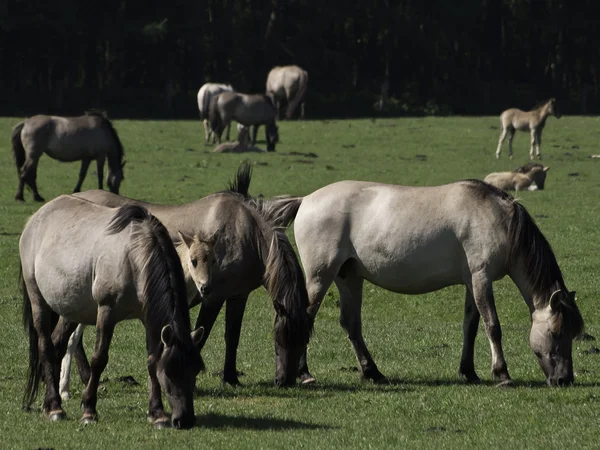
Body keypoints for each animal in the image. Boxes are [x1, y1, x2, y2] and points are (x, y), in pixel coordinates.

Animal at [20, 197, 204, 428]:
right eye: (170, 371)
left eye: (195, 369)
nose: (185, 419)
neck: (132, 257)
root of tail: (35, 219)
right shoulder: (106, 312)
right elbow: (99, 358)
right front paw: (89, 409)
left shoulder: (148, 318)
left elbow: (152, 359)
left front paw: (157, 413)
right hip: (38, 300)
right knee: (45, 346)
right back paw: (55, 407)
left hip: (71, 310)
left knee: (57, 344)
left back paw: (49, 401)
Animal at [70, 162, 312, 386]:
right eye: (279, 339)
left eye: (304, 341)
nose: (285, 381)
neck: (244, 232)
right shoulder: (213, 296)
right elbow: (202, 334)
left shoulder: (238, 296)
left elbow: (232, 337)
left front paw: (231, 378)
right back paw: (88, 376)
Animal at [258, 179, 584, 386]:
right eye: (556, 332)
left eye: (571, 333)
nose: (564, 379)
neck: (496, 217)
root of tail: (305, 200)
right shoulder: (481, 278)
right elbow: (492, 326)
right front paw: (501, 373)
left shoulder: (471, 283)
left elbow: (471, 326)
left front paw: (469, 371)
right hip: (320, 277)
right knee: (305, 319)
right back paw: (304, 374)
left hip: (348, 278)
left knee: (351, 324)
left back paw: (373, 372)